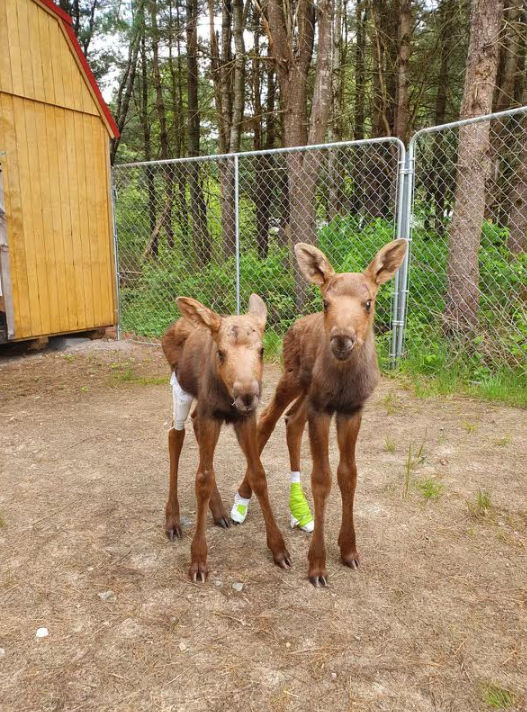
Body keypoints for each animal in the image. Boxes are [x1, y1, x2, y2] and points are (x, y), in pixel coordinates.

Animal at [162, 294, 290, 584]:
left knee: (193, 429)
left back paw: (218, 511)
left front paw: (279, 548)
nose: (247, 395)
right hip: (180, 389)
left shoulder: (244, 418)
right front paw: (198, 559)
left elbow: (257, 474)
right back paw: (172, 519)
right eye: (221, 352)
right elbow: (202, 479)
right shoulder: (211, 414)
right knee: (175, 435)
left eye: (262, 350)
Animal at [235, 238, 408, 584]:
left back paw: (299, 511)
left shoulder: (351, 409)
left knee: (292, 420)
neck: (343, 382)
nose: (342, 338)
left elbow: (348, 475)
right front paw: (317, 563)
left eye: (368, 302)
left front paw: (349, 550)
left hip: (307, 392)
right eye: (327, 302)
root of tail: (294, 325)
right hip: (292, 378)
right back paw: (242, 499)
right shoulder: (322, 409)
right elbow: (322, 479)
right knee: (267, 420)